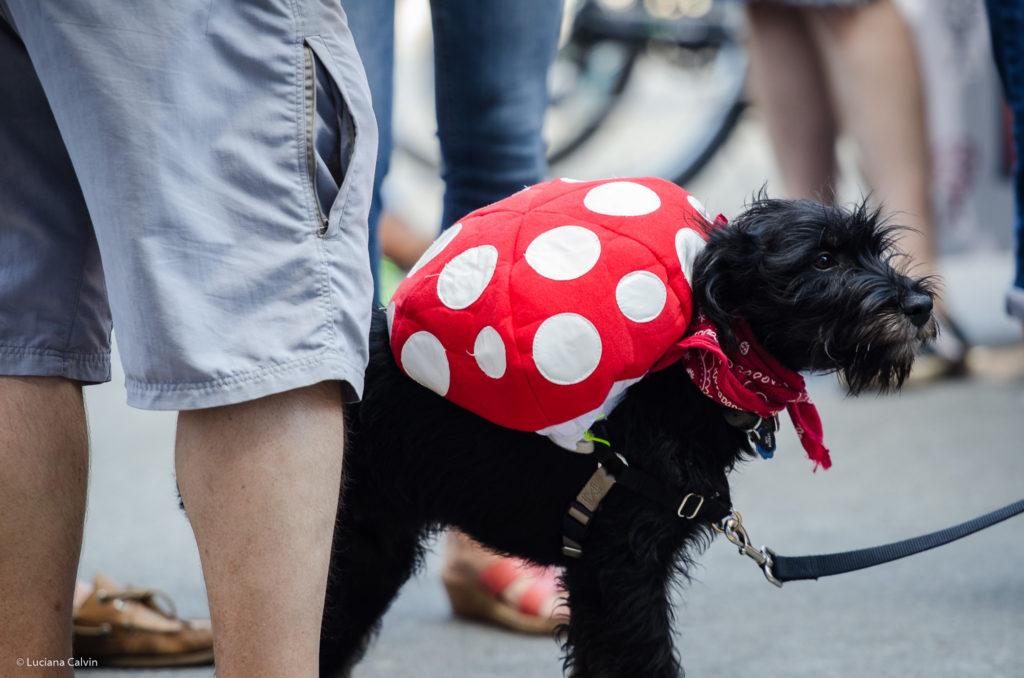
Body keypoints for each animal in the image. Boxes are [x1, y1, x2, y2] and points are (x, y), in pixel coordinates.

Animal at [319, 193, 937, 675]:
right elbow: (644, 663)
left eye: (875, 249)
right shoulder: (617, 573)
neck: (692, 380)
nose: (921, 303)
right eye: (824, 259)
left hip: (370, 558)